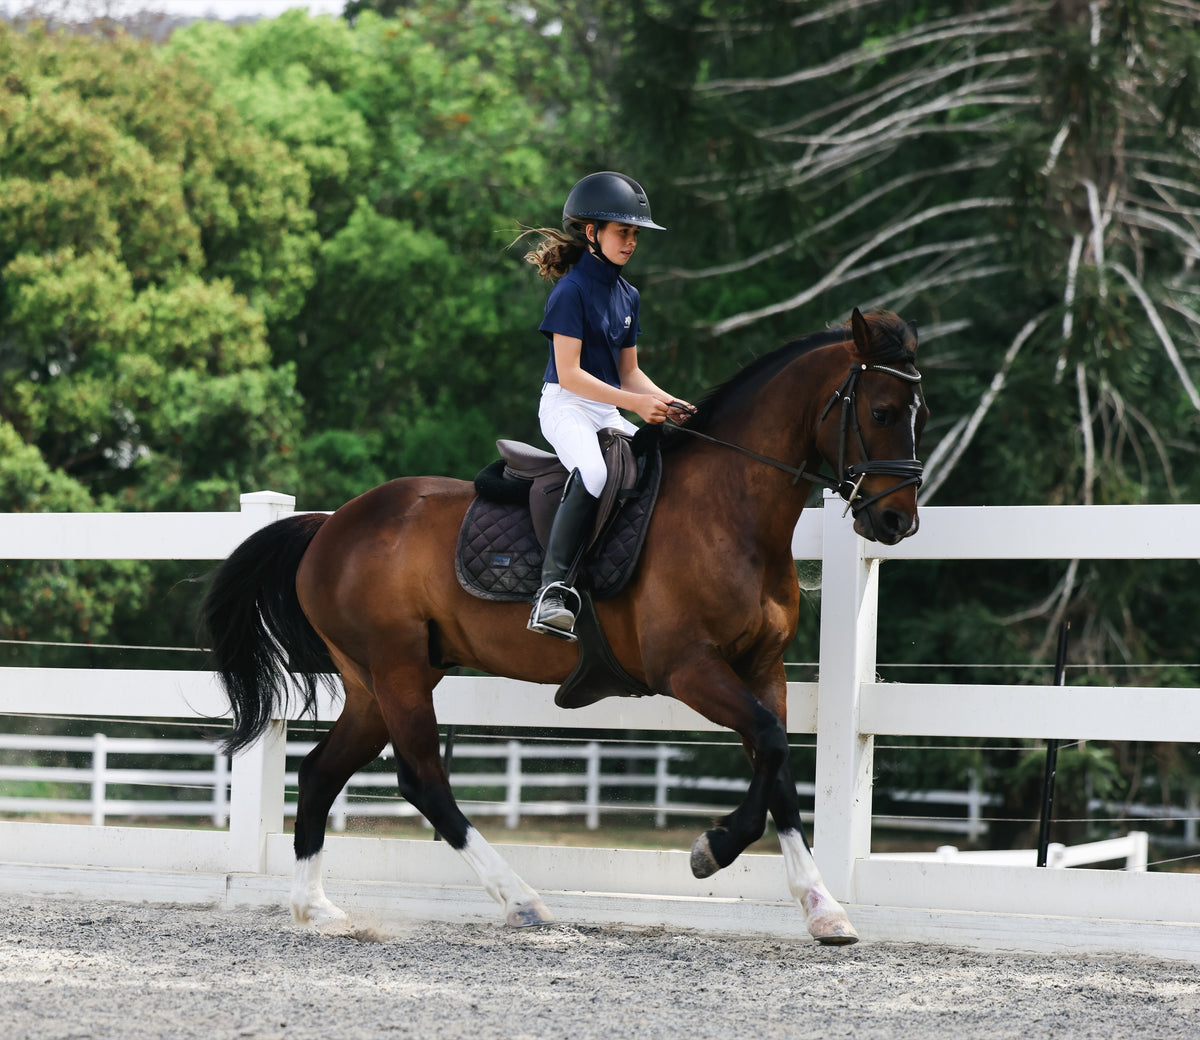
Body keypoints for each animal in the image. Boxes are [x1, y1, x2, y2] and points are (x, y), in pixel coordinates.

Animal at [202, 307, 928, 945]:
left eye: (918, 413)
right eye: (882, 412)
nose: (897, 521)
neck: (731, 509)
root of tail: (330, 525)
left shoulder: (761, 668)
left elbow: (775, 766)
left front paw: (823, 908)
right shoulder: (689, 668)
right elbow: (773, 746)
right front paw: (711, 850)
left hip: (376, 682)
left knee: (321, 773)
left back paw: (315, 908)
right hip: (398, 668)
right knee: (423, 780)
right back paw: (523, 902)